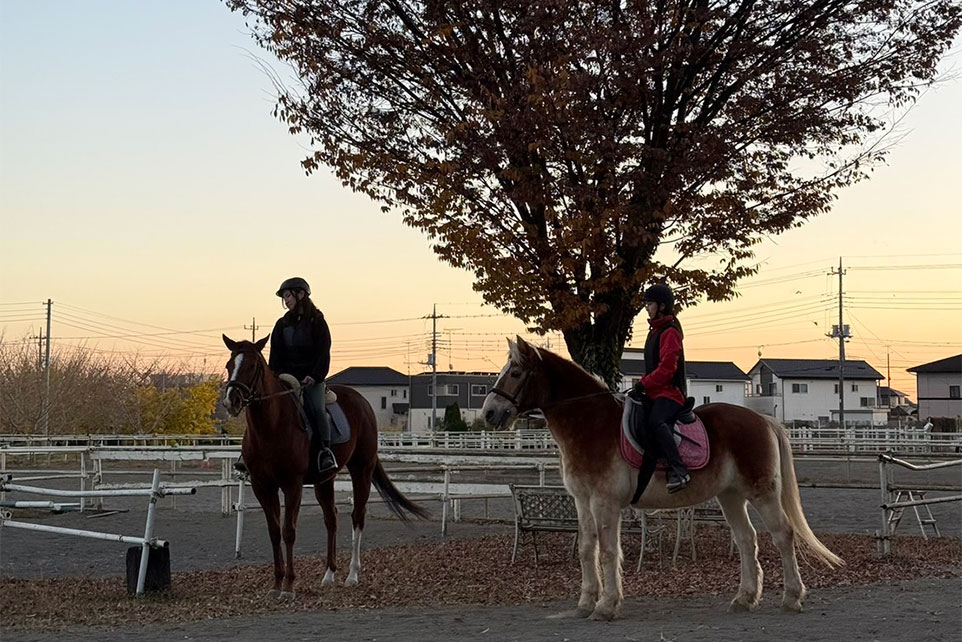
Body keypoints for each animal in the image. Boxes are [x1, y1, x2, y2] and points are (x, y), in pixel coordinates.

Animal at [221, 334, 428, 599]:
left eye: (252, 366)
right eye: (229, 365)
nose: (231, 401)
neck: (271, 427)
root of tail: (362, 401)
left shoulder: (292, 485)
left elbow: (288, 532)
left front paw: (289, 586)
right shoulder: (262, 486)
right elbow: (274, 532)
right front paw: (276, 584)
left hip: (361, 469)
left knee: (357, 516)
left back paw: (352, 575)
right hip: (325, 480)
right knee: (332, 519)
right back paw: (329, 574)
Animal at [482, 337, 842, 620]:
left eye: (515, 373)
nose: (488, 413)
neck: (589, 422)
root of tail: (763, 419)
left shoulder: (605, 502)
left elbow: (608, 550)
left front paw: (606, 606)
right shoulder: (582, 500)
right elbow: (586, 548)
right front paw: (585, 604)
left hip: (761, 491)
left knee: (783, 534)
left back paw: (792, 597)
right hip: (731, 496)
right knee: (746, 539)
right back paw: (744, 598)